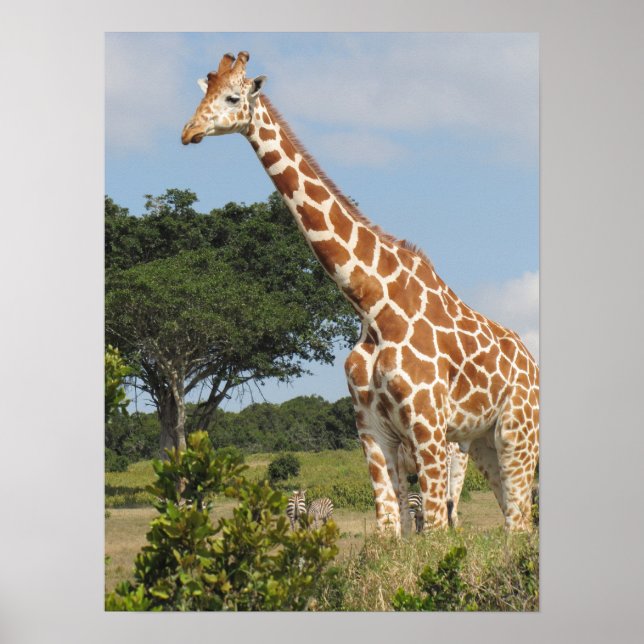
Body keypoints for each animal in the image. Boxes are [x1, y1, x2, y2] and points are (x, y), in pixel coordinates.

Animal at [181, 51, 540, 533]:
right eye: (204, 94)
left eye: (233, 97)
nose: (188, 132)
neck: (372, 304)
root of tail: (533, 365)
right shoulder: (371, 430)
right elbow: (390, 531)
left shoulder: (428, 427)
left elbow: (434, 532)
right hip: (481, 442)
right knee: (513, 525)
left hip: (516, 434)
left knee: (517, 521)